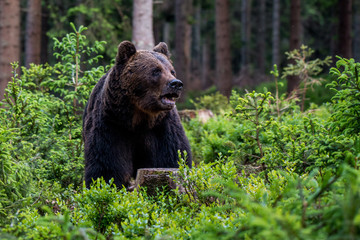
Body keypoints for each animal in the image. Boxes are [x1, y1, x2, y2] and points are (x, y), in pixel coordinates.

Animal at [83, 40, 193, 188]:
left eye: (172, 70)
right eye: (156, 70)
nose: (176, 83)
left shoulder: (163, 127)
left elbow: (171, 157)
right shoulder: (112, 124)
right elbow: (107, 163)